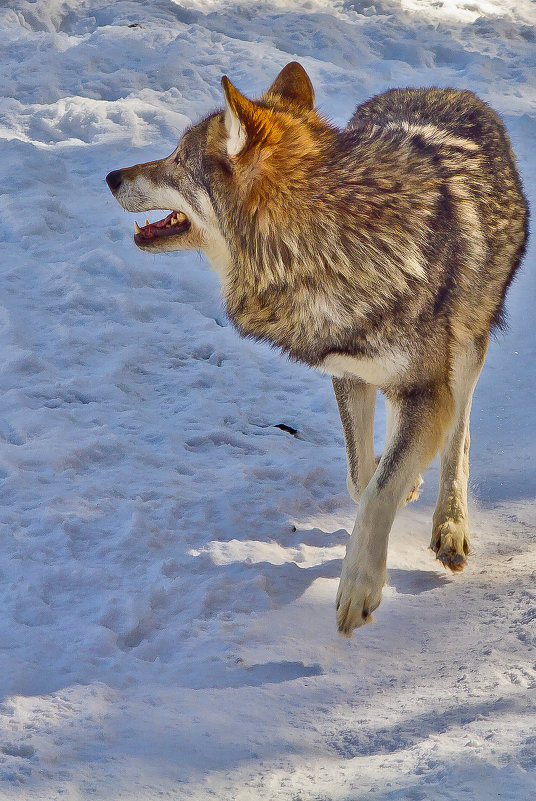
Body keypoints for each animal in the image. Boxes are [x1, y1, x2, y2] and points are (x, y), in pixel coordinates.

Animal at [104, 61, 528, 636]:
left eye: (174, 159)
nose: (111, 177)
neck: (324, 245)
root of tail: (447, 89)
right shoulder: (349, 373)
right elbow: (362, 480)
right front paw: (389, 491)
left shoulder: (426, 385)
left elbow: (381, 489)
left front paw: (360, 588)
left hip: (467, 349)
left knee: (458, 436)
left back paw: (451, 526)